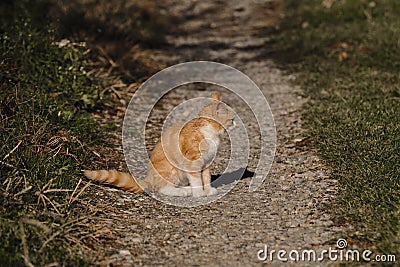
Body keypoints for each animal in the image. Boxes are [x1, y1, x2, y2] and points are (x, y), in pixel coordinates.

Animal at [84, 93, 234, 198]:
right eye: (231, 119)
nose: (236, 122)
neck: (210, 133)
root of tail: (149, 178)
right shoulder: (192, 162)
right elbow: (197, 180)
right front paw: (199, 193)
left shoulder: (207, 163)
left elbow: (206, 178)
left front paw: (207, 190)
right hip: (171, 169)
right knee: (163, 188)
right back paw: (183, 192)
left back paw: (186, 189)